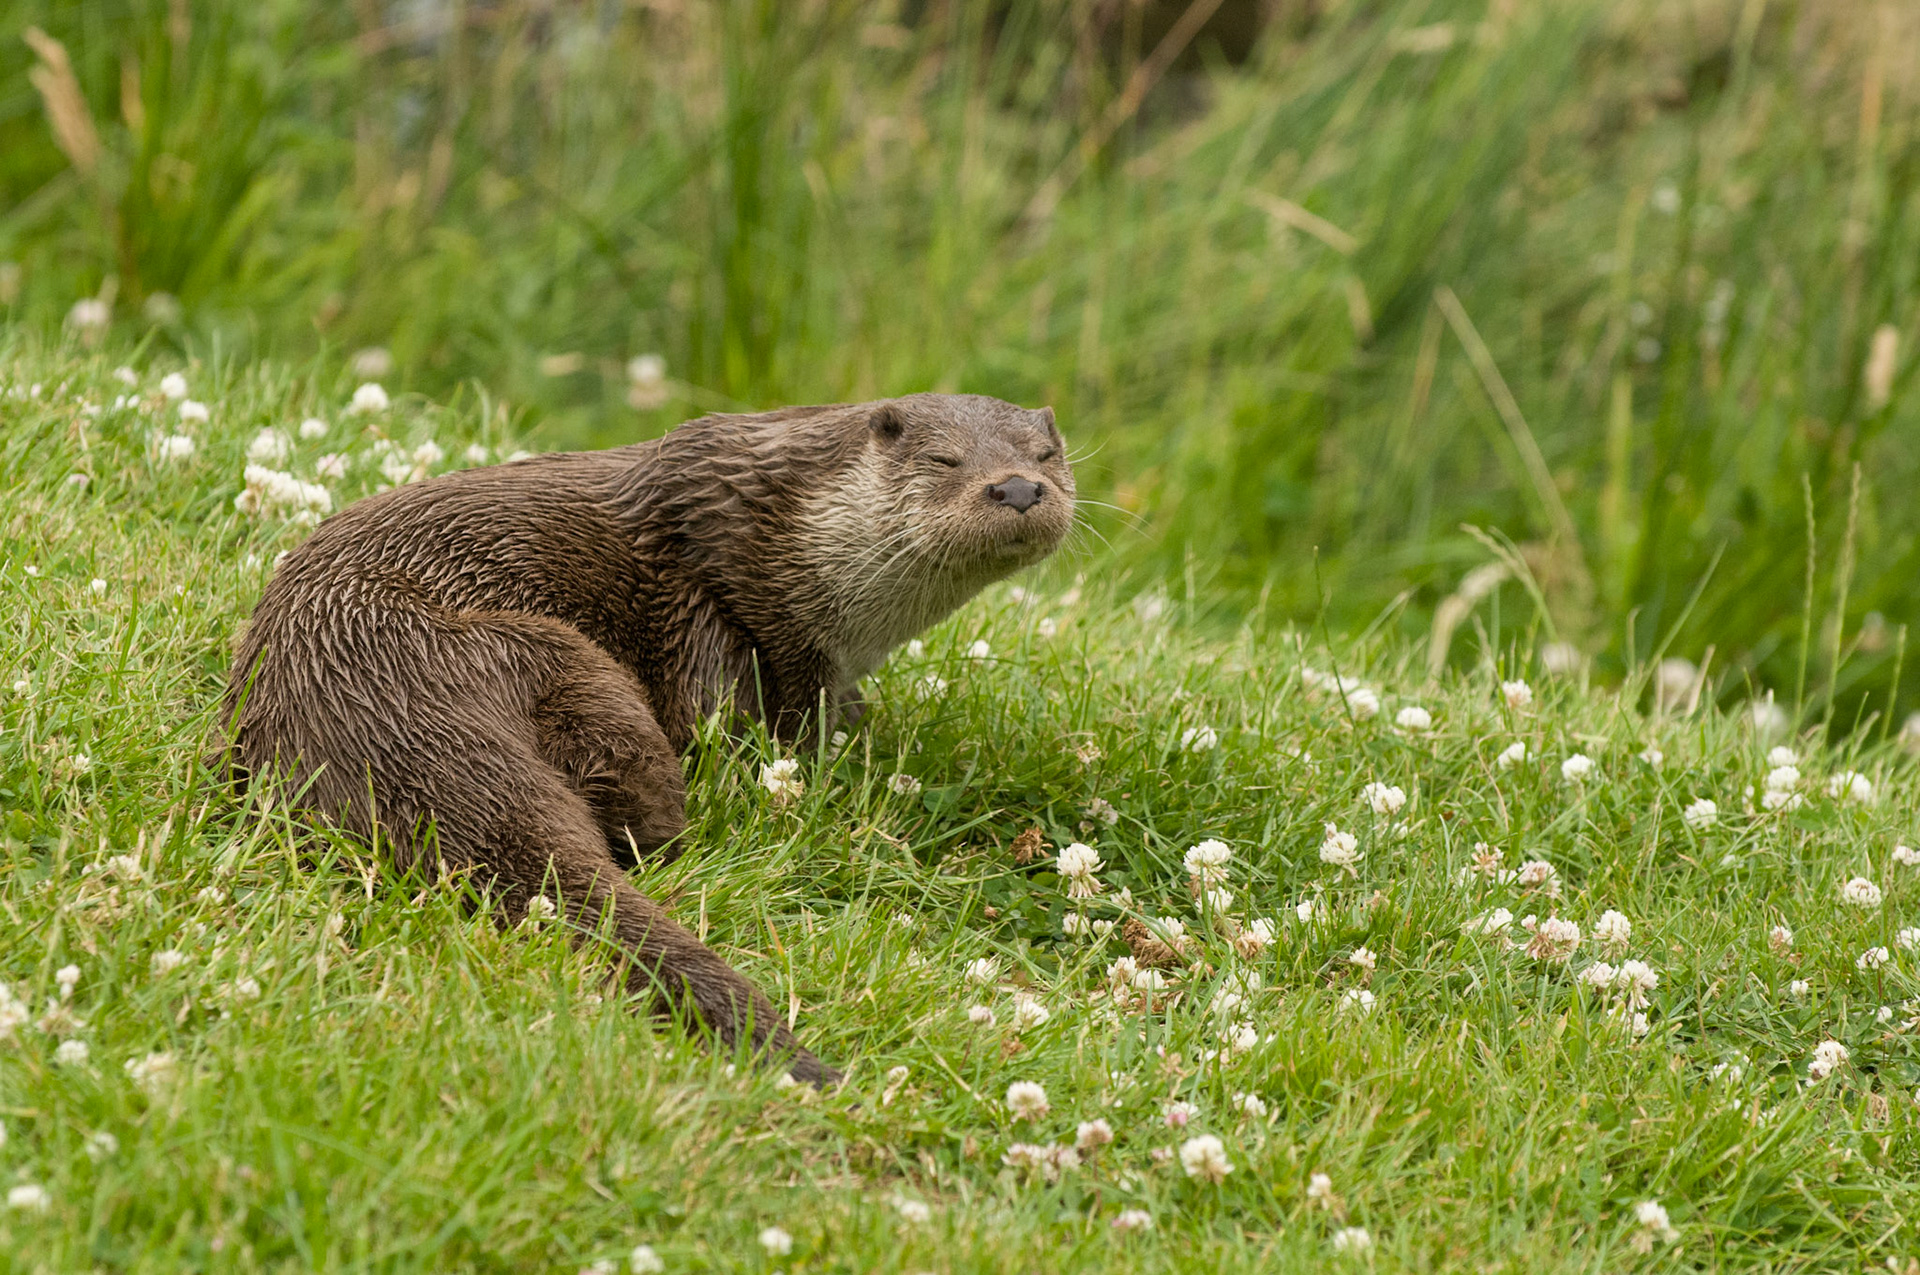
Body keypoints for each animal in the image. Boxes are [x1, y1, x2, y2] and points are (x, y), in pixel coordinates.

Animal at [218, 393, 1074, 1083]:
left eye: (1045, 454)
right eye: (944, 459)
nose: (1017, 487)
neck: (778, 541)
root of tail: (370, 703)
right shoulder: (713, 613)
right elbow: (733, 726)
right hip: (546, 653)